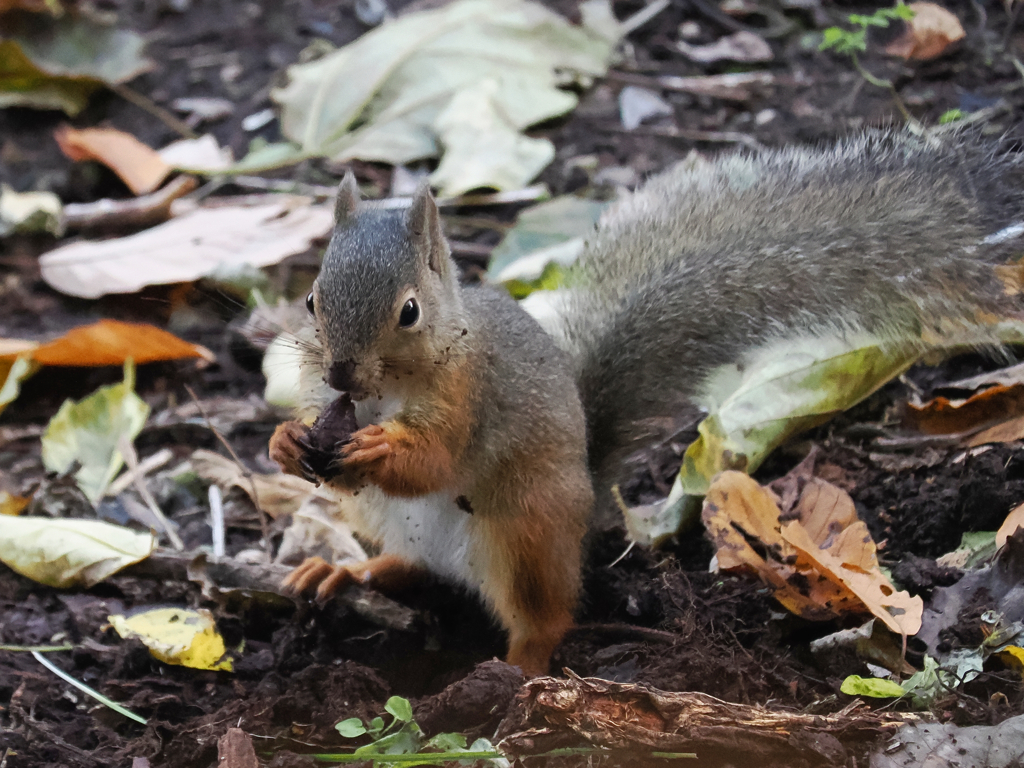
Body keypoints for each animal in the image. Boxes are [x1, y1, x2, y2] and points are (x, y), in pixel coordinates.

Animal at [266, 129, 1024, 675]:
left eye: (410, 311)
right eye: (312, 301)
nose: (340, 373)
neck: (385, 390)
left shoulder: (469, 397)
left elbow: (433, 460)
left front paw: (375, 446)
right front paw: (285, 440)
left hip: (525, 533)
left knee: (545, 615)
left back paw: (519, 669)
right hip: (391, 523)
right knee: (407, 565)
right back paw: (339, 570)